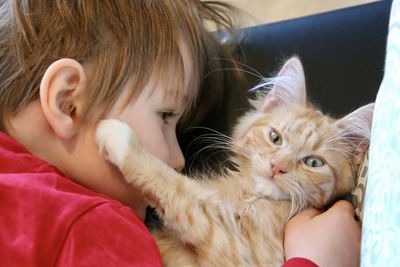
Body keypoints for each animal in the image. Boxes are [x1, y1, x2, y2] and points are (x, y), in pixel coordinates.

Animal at [96, 57, 372, 266]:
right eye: (275, 137)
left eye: (314, 163)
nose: (277, 167)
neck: (248, 197)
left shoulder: (237, 245)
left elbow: (175, 185)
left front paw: (117, 135)